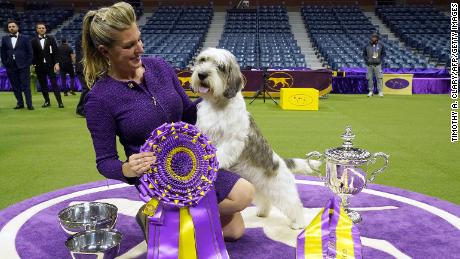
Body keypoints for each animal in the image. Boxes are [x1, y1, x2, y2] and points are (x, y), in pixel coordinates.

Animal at [190, 47, 316, 230]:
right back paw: (263, 212)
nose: (201, 74)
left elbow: (220, 153)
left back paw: (298, 224)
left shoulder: (232, 141)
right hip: (257, 185)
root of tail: (281, 161)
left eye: (220, 66)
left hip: (281, 188)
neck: (217, 105)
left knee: (294, 205)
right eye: (202, 60)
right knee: (266, 200)